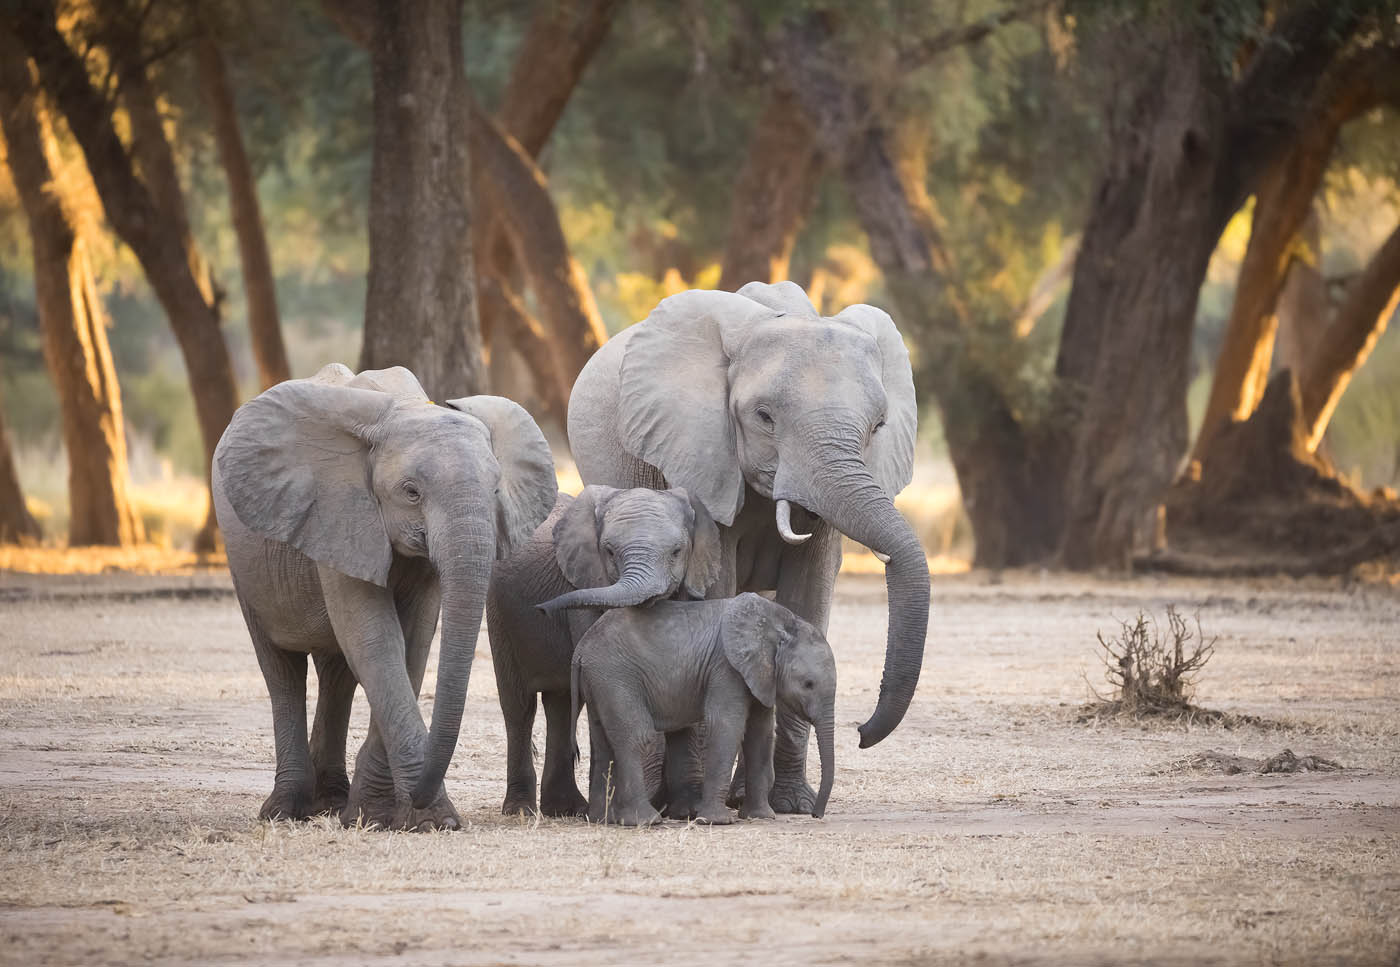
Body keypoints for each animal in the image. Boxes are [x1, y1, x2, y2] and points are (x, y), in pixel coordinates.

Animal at [212, 363, 551, 834]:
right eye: (411, 492)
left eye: (498, 490)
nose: (431, 802)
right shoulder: (339, 514)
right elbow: (376, 641)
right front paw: (427, 819)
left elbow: (413, 643)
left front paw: (376, 815)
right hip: (243, 564)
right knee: (281, 669)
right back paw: (284, 811)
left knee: (337, 674)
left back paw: (331, 803)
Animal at [484, 484, 722, 817]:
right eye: (609, 551)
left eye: (677, 552)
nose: (543, 609)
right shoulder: (583, 584)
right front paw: (611, 813)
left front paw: (688, 810)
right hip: (499, 615)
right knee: (519, 707)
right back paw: (522, 810)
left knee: (561, 706)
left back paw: (565, 809)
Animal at [571, 593, 834, 828]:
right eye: (808, 684)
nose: (816, 815)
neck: (780, 624)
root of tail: (580, 649)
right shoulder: (726, 667)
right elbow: (726, 726)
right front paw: (716, 821)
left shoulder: (760, 676)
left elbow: (760, 733)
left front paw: (760, 817)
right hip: (616, 677)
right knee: (637, 737)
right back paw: (646, 821)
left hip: (599, 680)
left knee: (602, 744)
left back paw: (602, 820)